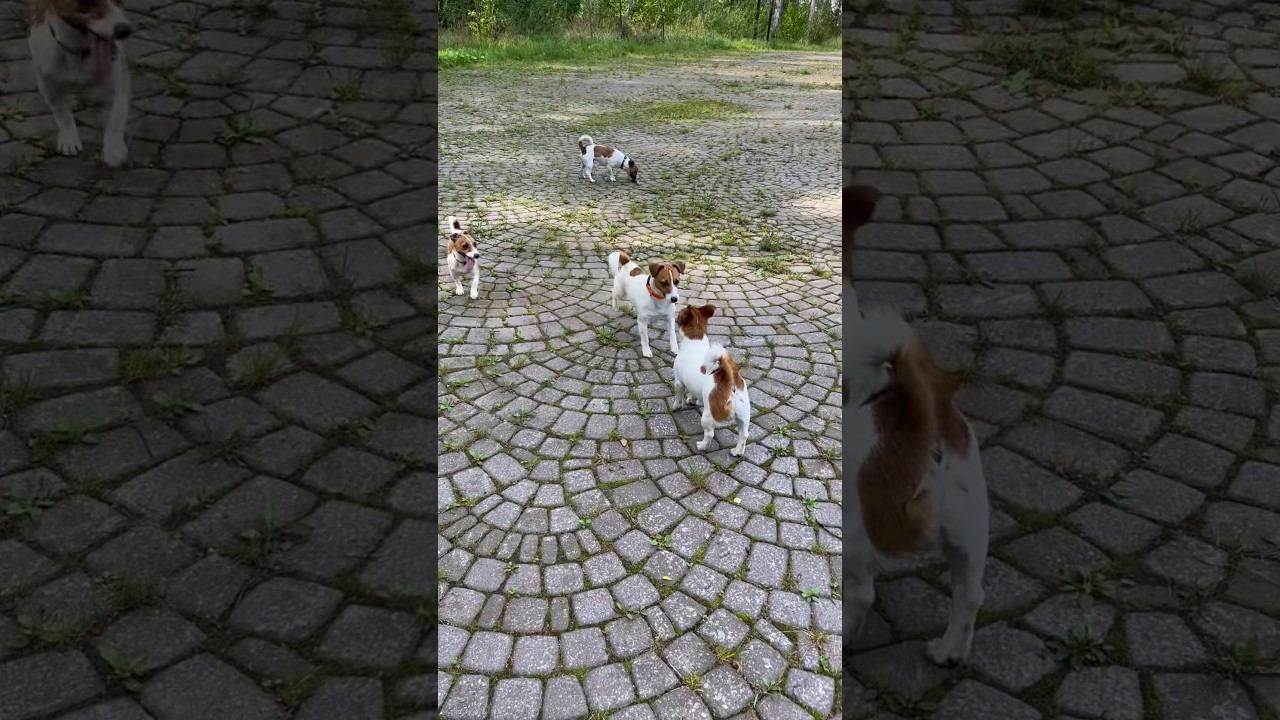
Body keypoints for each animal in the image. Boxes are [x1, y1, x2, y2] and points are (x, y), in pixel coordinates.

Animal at [27, 0, 133, 167]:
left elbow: (115, 119)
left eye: (120, 0)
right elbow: (62, 113)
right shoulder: (49, 86)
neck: (79, 50)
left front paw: (113, 149)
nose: (125, 30)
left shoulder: (118, 86)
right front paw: (69, 138)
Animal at [671, 308, 751, 456]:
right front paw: (692, 400)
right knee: (744, 434)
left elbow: (678, 396)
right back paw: (737, 452)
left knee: (709, 434)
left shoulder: (679, 382)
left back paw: (702, 446)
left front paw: (676, 406)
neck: (695, 341)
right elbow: (693, 394)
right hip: (744, 415)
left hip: (708, 416)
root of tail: (730, 381)